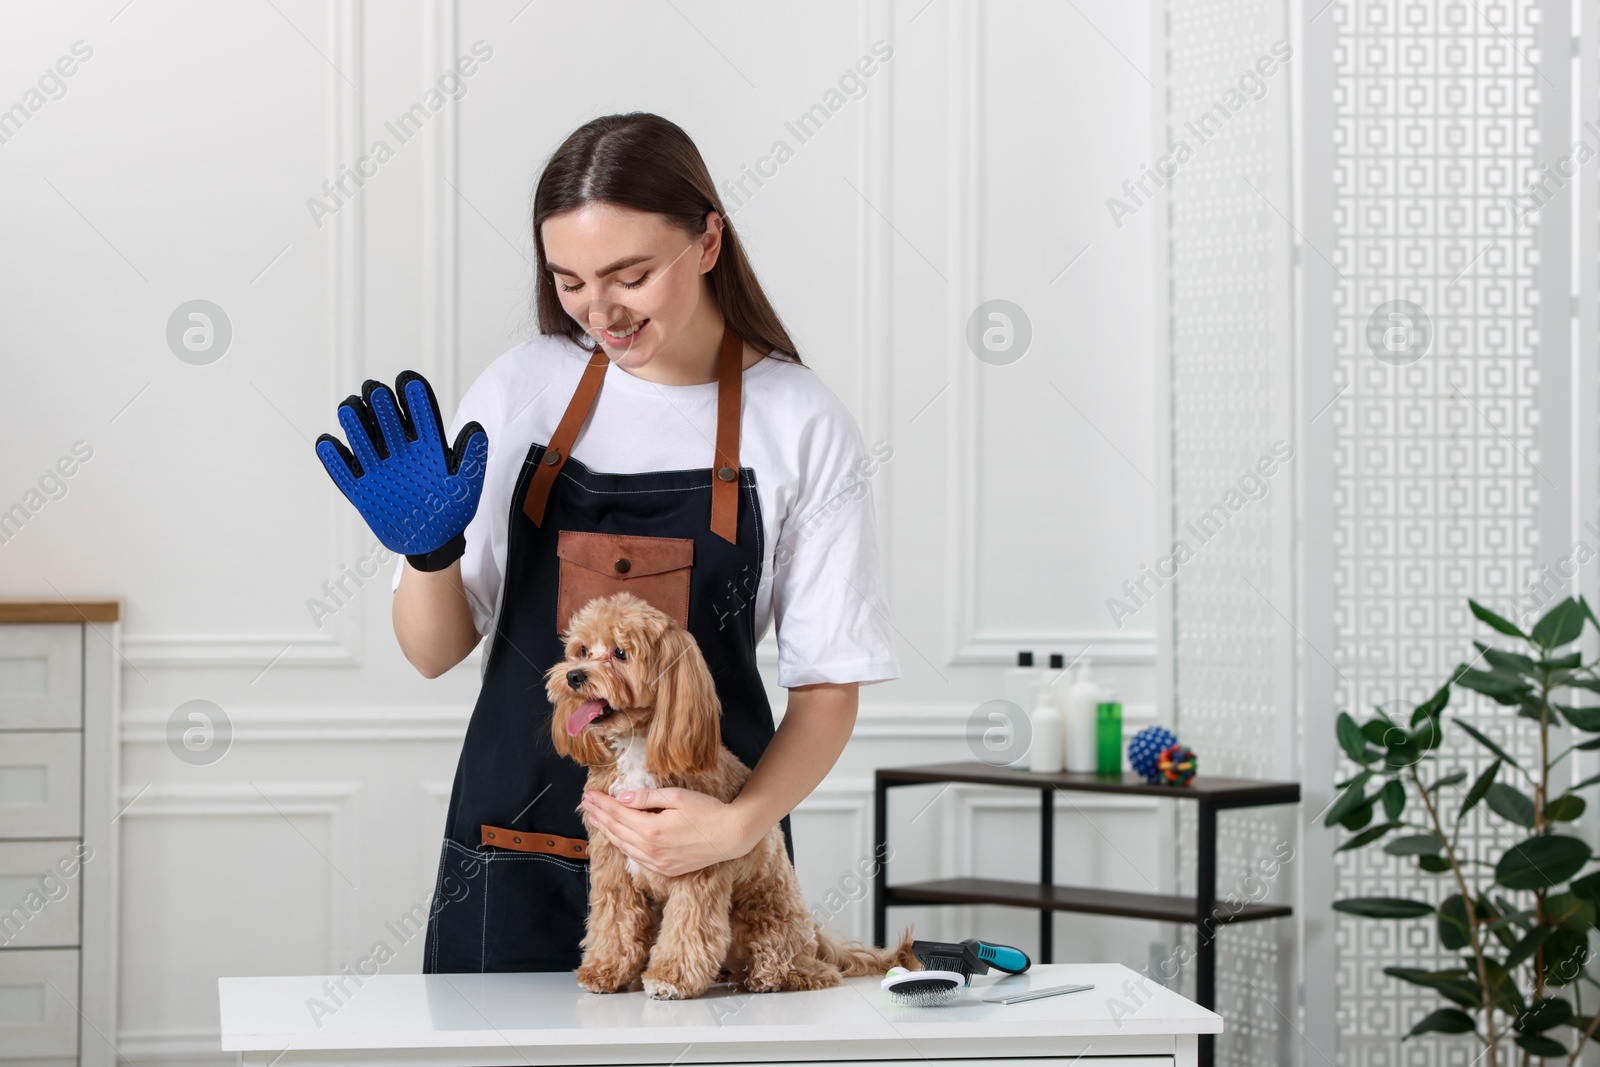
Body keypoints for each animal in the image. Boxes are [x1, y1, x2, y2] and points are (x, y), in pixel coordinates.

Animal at [550, 591, 921, 1004]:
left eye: (620, 653)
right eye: (582, 650)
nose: (574, 676)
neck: (639, 744)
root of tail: (815, 938)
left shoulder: (695, 865)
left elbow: (688, 926)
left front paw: (670, 978)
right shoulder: (612, 861)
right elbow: (613, 920)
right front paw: (604, 970)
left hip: (765, 922)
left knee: (809, 972)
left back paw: (771, 978)